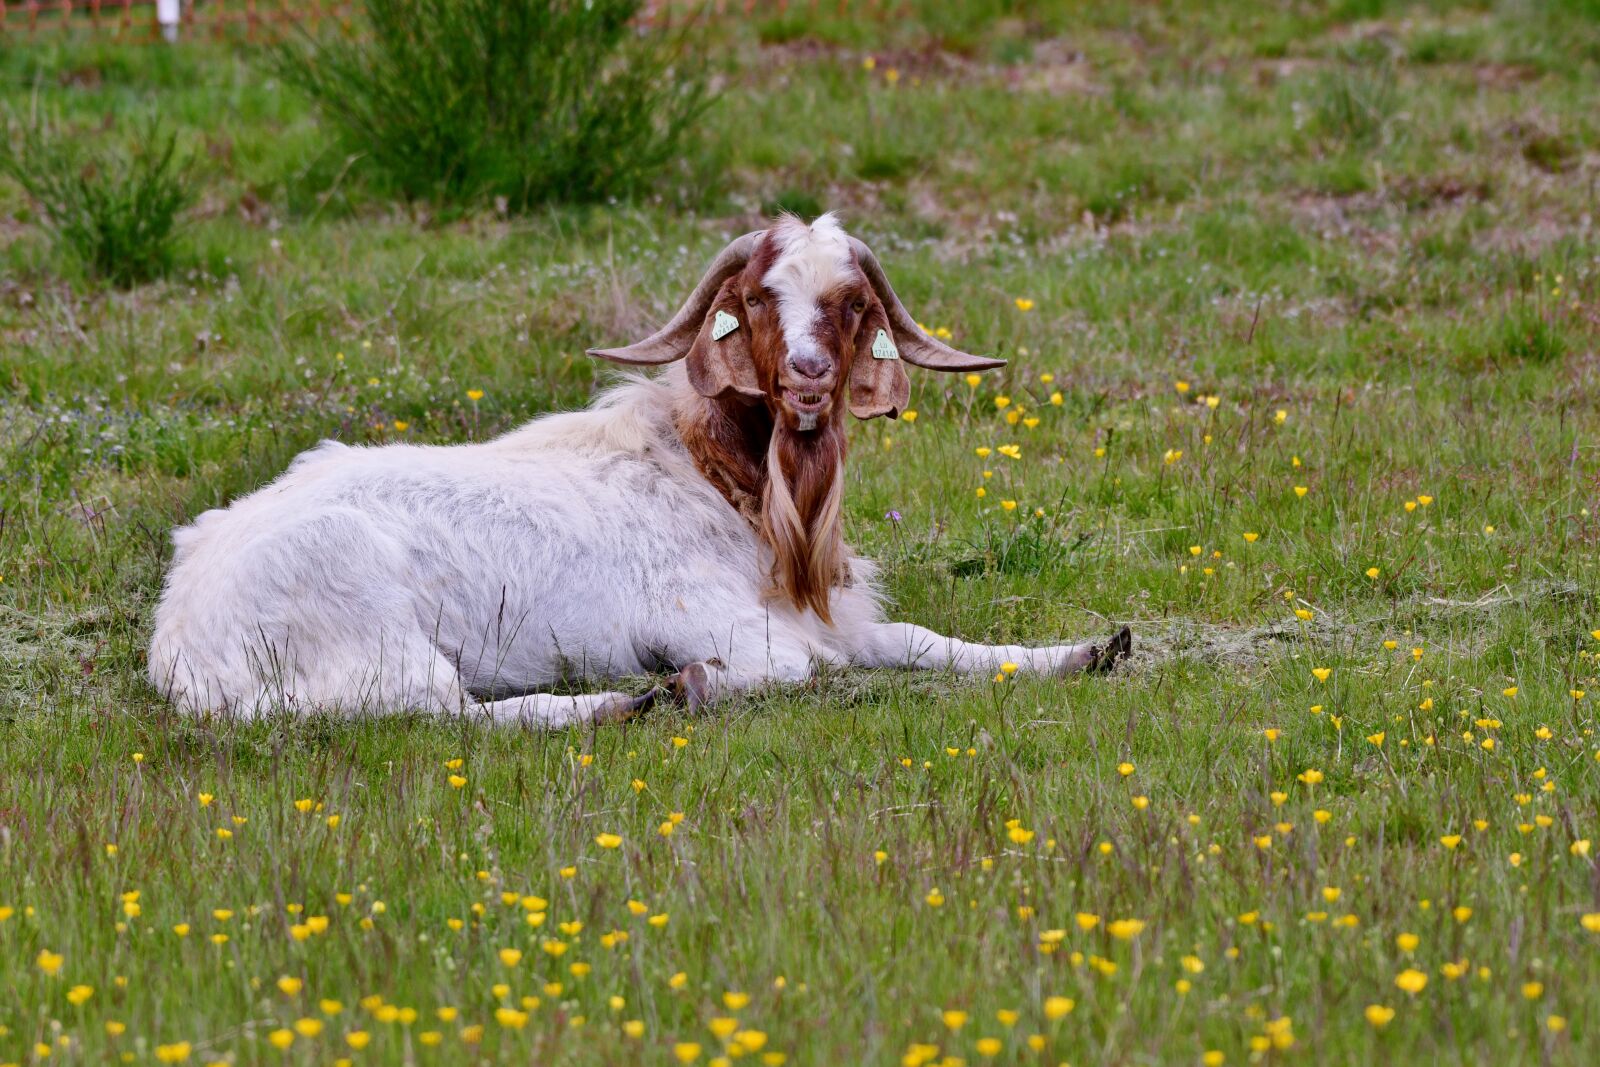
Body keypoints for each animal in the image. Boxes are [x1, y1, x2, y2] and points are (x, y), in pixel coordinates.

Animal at [148, 214, 1130, 726]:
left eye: (853, 303)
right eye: (756, 298)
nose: (810, 378)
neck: (716, 477)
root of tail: (182, 639)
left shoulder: (838, 620)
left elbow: (925, 642)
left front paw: (1089, 650)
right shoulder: (717, 619)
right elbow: (799, 672)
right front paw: (690, 681)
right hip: (371, 629)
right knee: (448, 709)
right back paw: (623, 701)